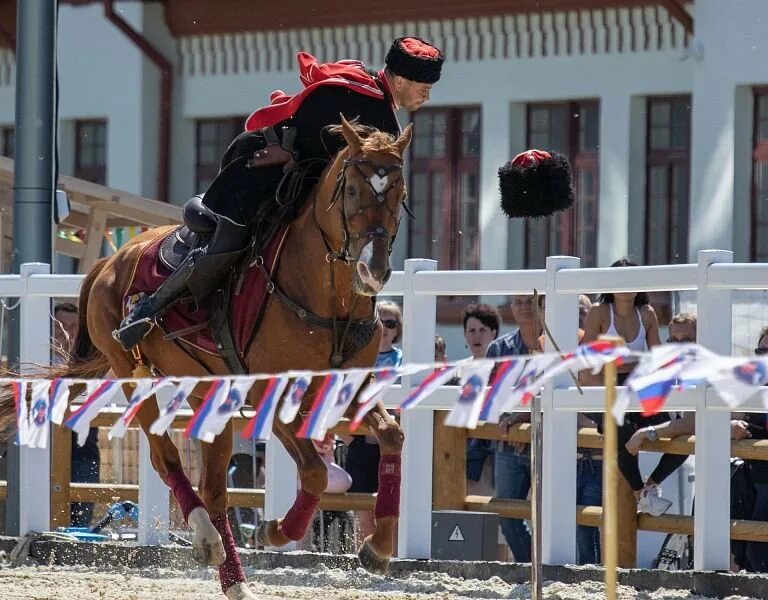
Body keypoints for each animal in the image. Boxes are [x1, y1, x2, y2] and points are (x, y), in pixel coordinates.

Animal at [0, 117, 414, 600]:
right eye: (350, 190)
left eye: (400, 192)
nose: (374, 269)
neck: (326, 298)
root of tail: (107, 266)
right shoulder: (271, 390)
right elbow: (313, 472)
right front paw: (274, 531)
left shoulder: (351, 385)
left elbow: (390, 437)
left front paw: (379, 547)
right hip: (131, 374)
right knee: (166, 461)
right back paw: (206, 539)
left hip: (206, 392)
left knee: (214, 488)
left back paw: (233, 578)